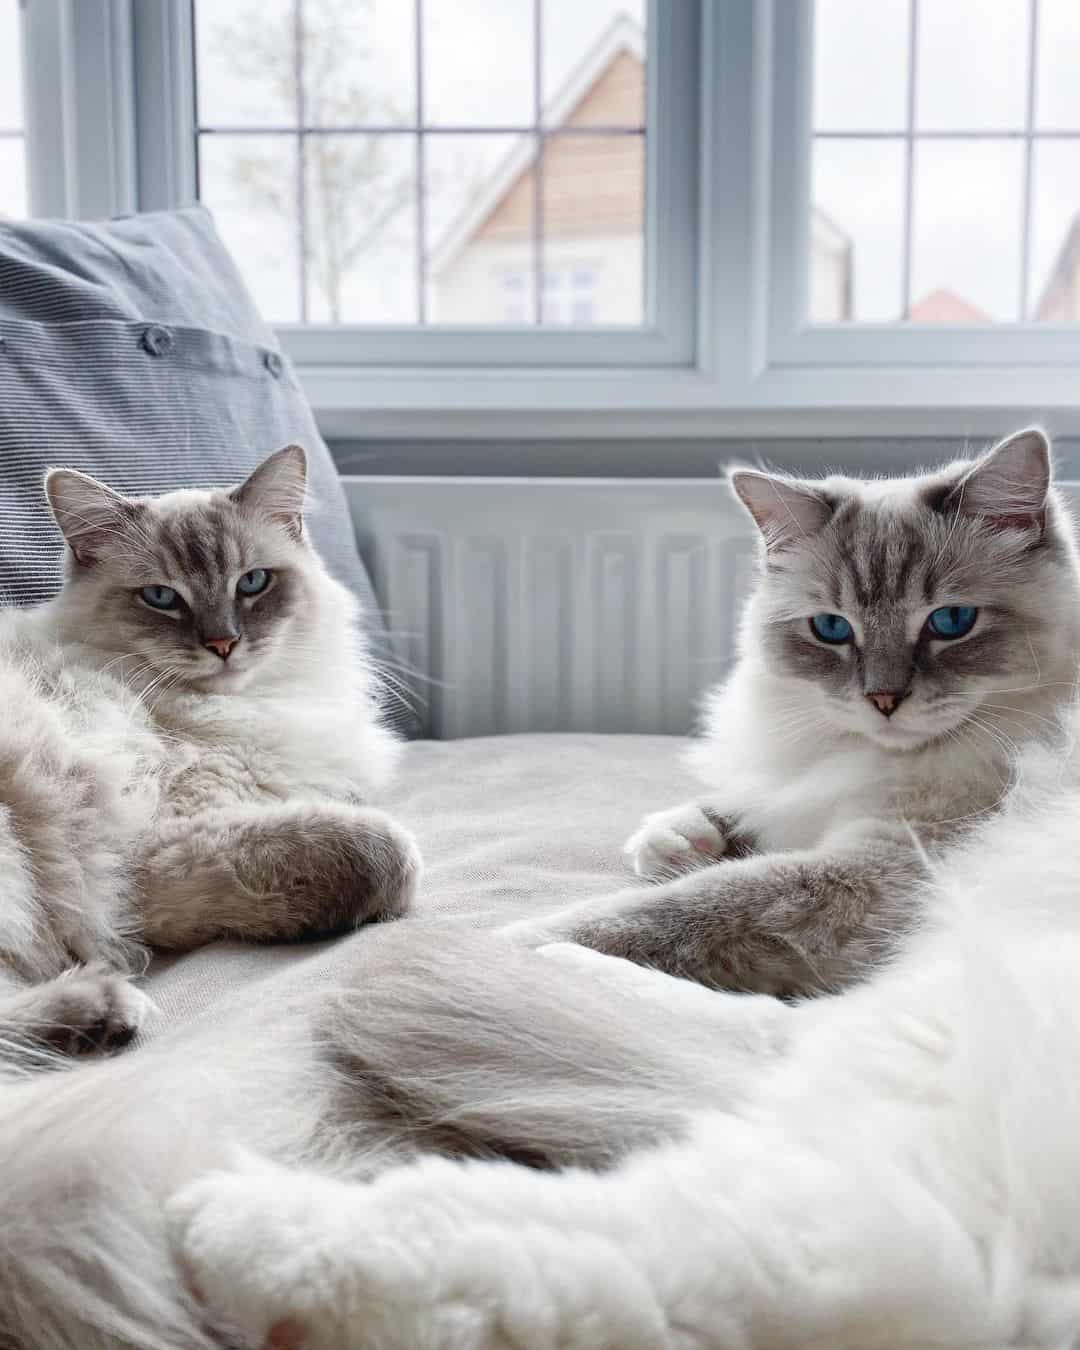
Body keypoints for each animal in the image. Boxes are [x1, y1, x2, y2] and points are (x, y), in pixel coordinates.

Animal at [0, 453, 418, 1063]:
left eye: (252, 583)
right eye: (161, 597)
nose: (223, 644)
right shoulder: (153, 851)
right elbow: (387, 853)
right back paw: (106, 1011)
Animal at [510, 426, 1080, 999]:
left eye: (952, 621)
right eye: (831, 629)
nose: (883, 700)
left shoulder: (883, 863)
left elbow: (683, 905)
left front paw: (519, 944)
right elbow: (736, 806)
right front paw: (675, 842)